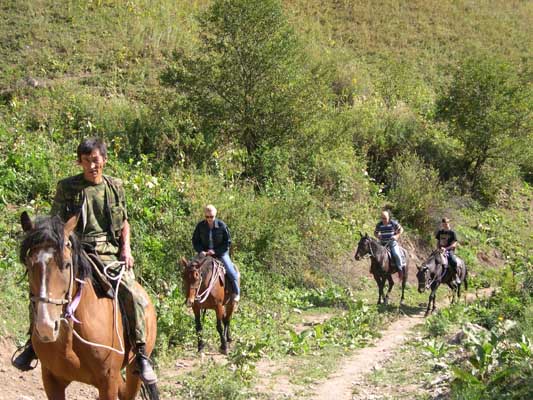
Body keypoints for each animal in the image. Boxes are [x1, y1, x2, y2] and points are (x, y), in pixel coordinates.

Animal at [19, 211, 160, 398]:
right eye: (29, 264)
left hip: (134, 372)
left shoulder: (108, 382)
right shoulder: (50, 379)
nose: (46, 327)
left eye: (66, 264)